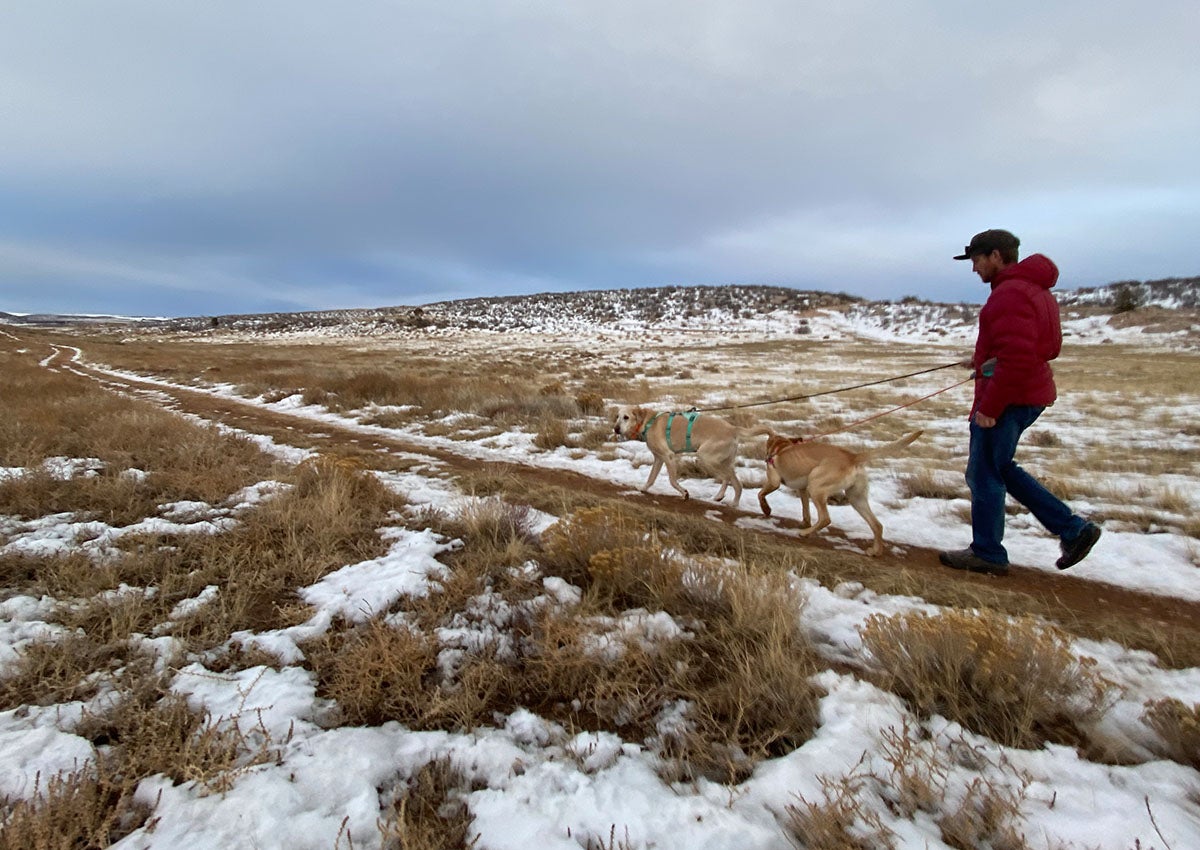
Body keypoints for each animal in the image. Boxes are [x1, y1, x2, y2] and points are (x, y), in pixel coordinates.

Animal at [614, 405, 772, 501]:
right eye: (617, 416)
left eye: (626, 417)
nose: (615, 429)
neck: (648, 422)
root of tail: (733, 428)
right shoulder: (659, 458)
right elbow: (651, 478)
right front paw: (643, 489)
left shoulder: (668, 456)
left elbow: (672, 480)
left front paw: (684, 492)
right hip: (725, 461)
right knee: (735, 483)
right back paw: (729, 502)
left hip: (706, 457)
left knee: (729, 479)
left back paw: (723, 498)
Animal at [758, 427, 926, 554]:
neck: (781, 447)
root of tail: (853, 457)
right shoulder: (803, 489)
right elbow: (805, 509)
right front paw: (805, 522)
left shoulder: (774, 482)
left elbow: (760, 494)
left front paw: (766, 509)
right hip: (856, 498)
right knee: (877, 525)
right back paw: (875, 551)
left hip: (816, 486)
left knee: (825, 518)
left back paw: (804, 533)